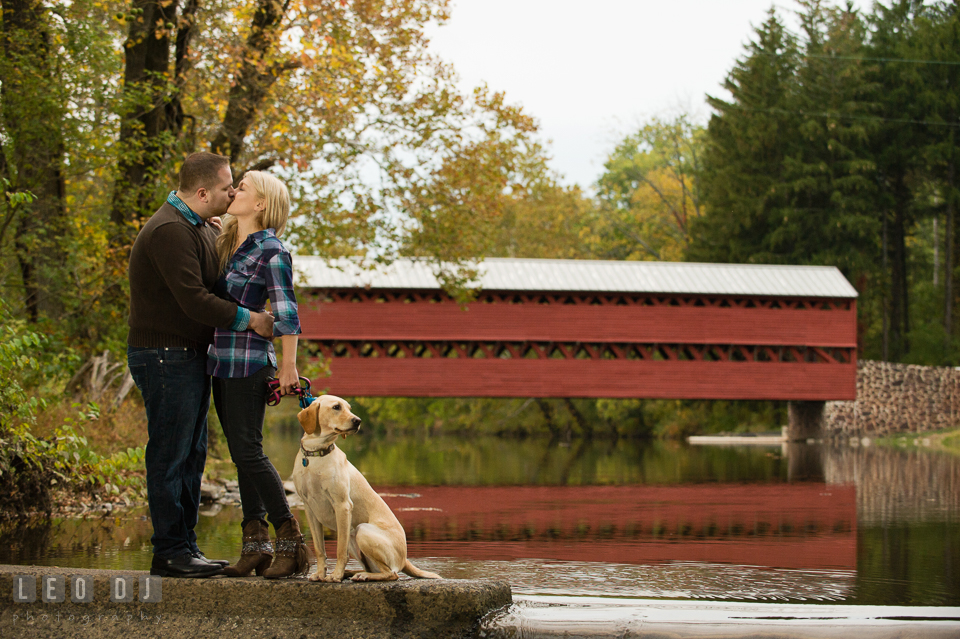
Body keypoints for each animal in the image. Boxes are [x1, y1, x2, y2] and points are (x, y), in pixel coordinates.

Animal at [292, 392, 442, 584]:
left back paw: (359, 575)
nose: (358, 421)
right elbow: (320, 549)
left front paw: (335, 576)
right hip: (352, 536)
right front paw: (320, 574)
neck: (316, 454)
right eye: (336, 407)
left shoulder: (342, 505)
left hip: (361, 530)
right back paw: (352, 573)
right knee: (375, 568)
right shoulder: (309, 509)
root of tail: (404, 558)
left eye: (349, 408)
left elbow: (340, 551)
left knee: (391, 573)